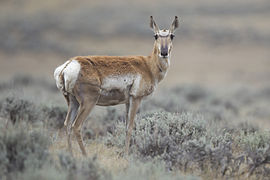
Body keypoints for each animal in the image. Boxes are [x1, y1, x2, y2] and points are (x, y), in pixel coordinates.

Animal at [53, 16, 178, 155]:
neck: (148, 65)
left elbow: (125, 127)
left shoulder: (127, 102)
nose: (164, 52)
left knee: (67, 124)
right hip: (88, 102)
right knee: (76, 126)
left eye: (172, 35)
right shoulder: (136, 99)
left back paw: (71, 154)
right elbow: (130, 127)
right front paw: (126, 155)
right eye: (155, 36)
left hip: (73, 102)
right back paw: (85, 156)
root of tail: (69, 65)